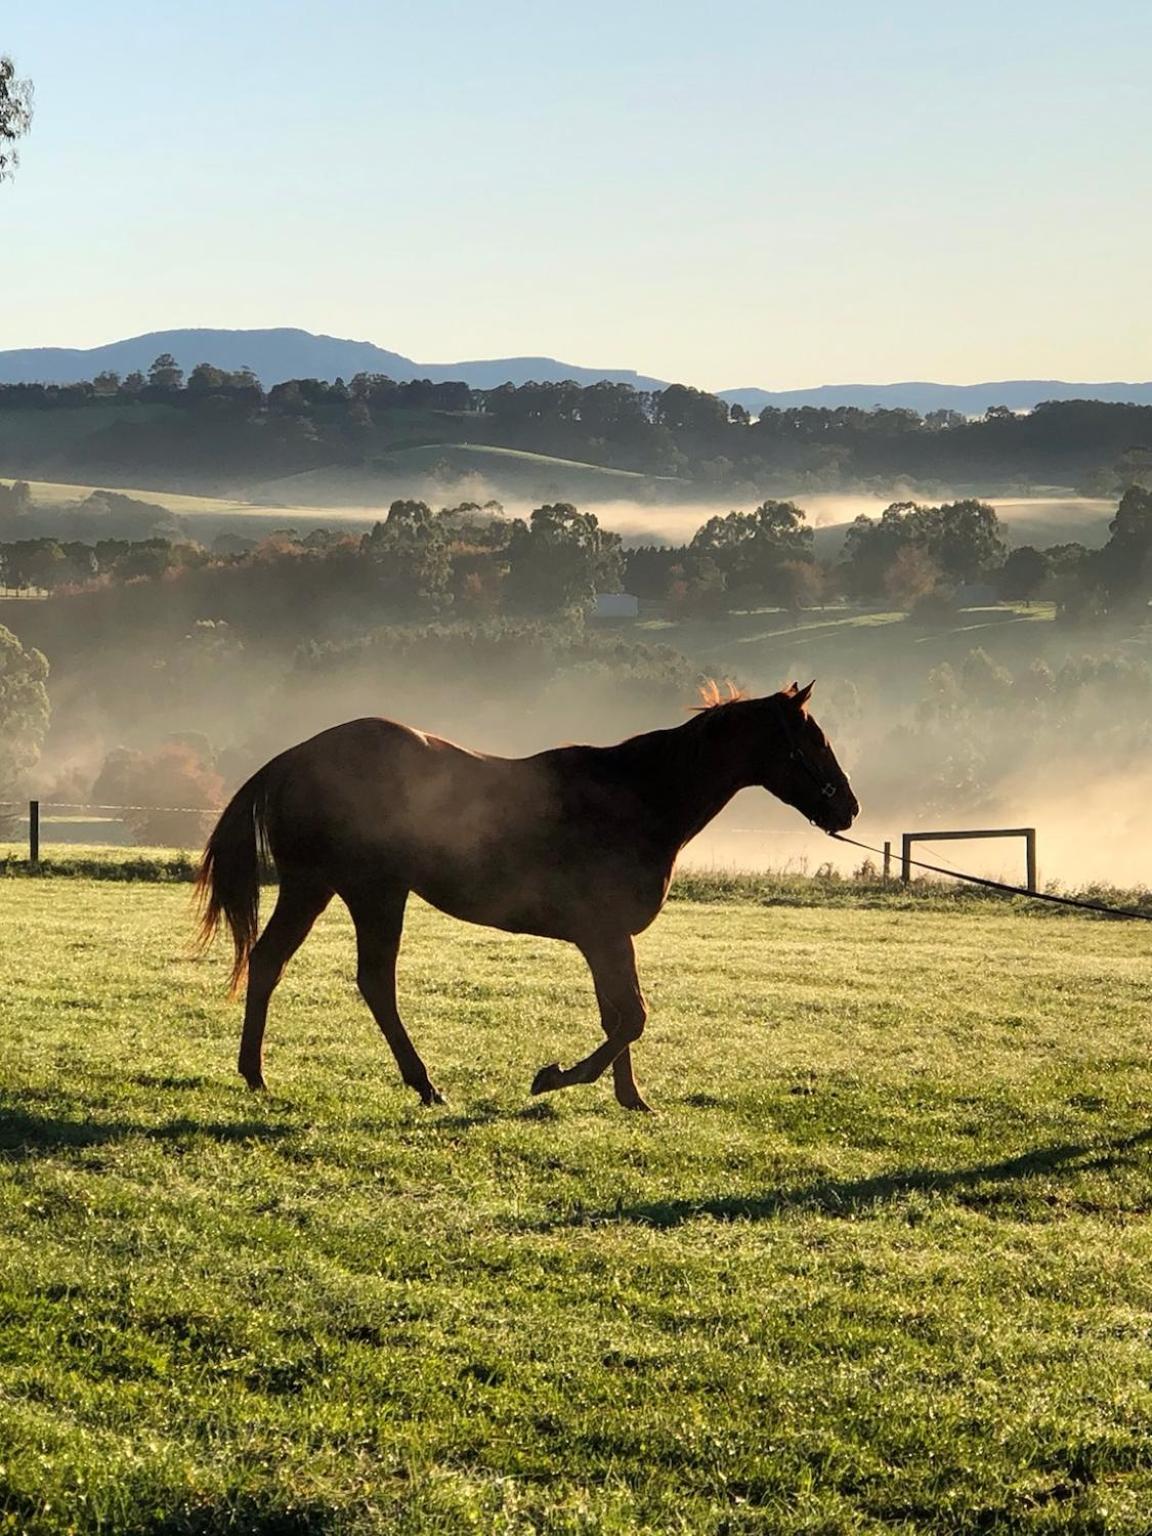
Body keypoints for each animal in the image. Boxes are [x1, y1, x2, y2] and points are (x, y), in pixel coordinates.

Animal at [196, 681, 860, 1105]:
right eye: (813, 741)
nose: (849, 809)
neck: (639, 796)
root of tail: (293, 758)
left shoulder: (607, 939)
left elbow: (618, 1014)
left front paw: (631, 1098)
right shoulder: (603, 934)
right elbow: (632, 1017)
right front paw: (555, 1077)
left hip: (313, 889)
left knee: (268, 962)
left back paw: (255, 1074)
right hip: (372, 894)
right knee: (374, 983)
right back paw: (424, 1084)